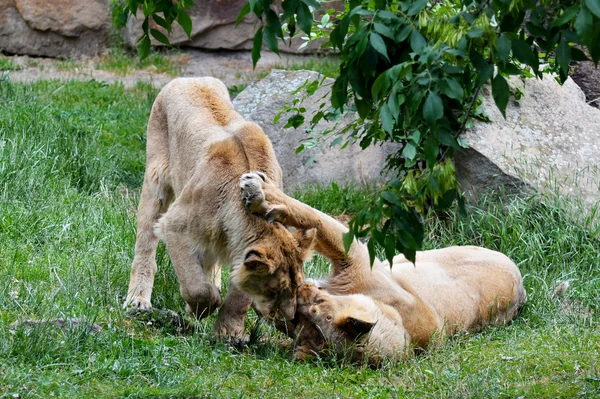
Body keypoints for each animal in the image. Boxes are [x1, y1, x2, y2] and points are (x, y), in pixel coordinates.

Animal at [124, 76, 316, 340]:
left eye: (297, 288)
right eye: (274, 291)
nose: (290, 319)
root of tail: (189, 78)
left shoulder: (239, 248)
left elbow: (239, 296)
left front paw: (228, 332)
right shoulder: (175, 225)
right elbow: (196, 285)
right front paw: (200, 309)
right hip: (156, 177)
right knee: (145, 242)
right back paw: (138, 299)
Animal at [239, 173, 524, 364]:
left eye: (313, 311)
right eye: (299, 324)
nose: (301, 294)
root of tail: (522, 292)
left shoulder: (356, 257)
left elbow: (314, 216)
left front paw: (257, 191)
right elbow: (315, 219)